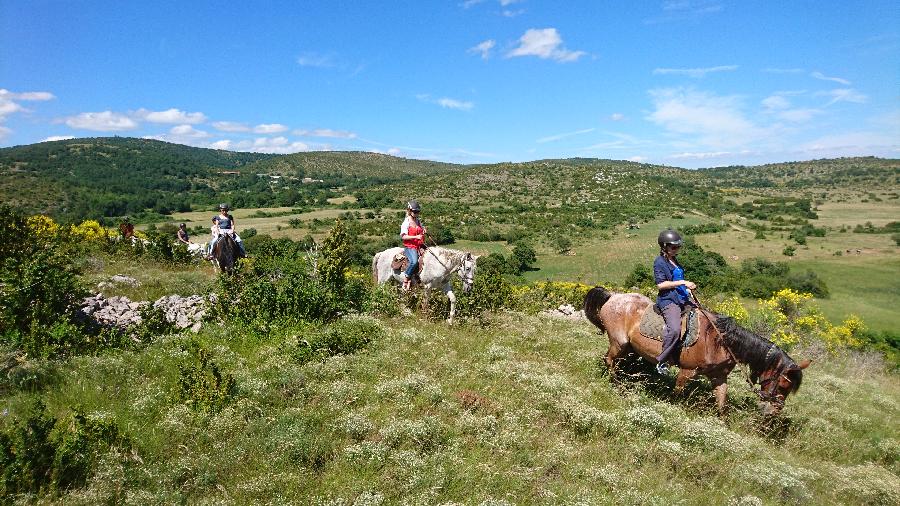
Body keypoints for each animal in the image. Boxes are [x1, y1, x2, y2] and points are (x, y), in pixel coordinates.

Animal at [584, 288, 808, 416]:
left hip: (630, 348)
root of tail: (613, 296)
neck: (720, 342)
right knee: (609, 360)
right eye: (784, 385)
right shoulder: (687, 371)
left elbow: (721, 403)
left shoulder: (719, 377)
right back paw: (618, 386)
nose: (774, 412)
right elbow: (677, 394)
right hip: (620, 343)